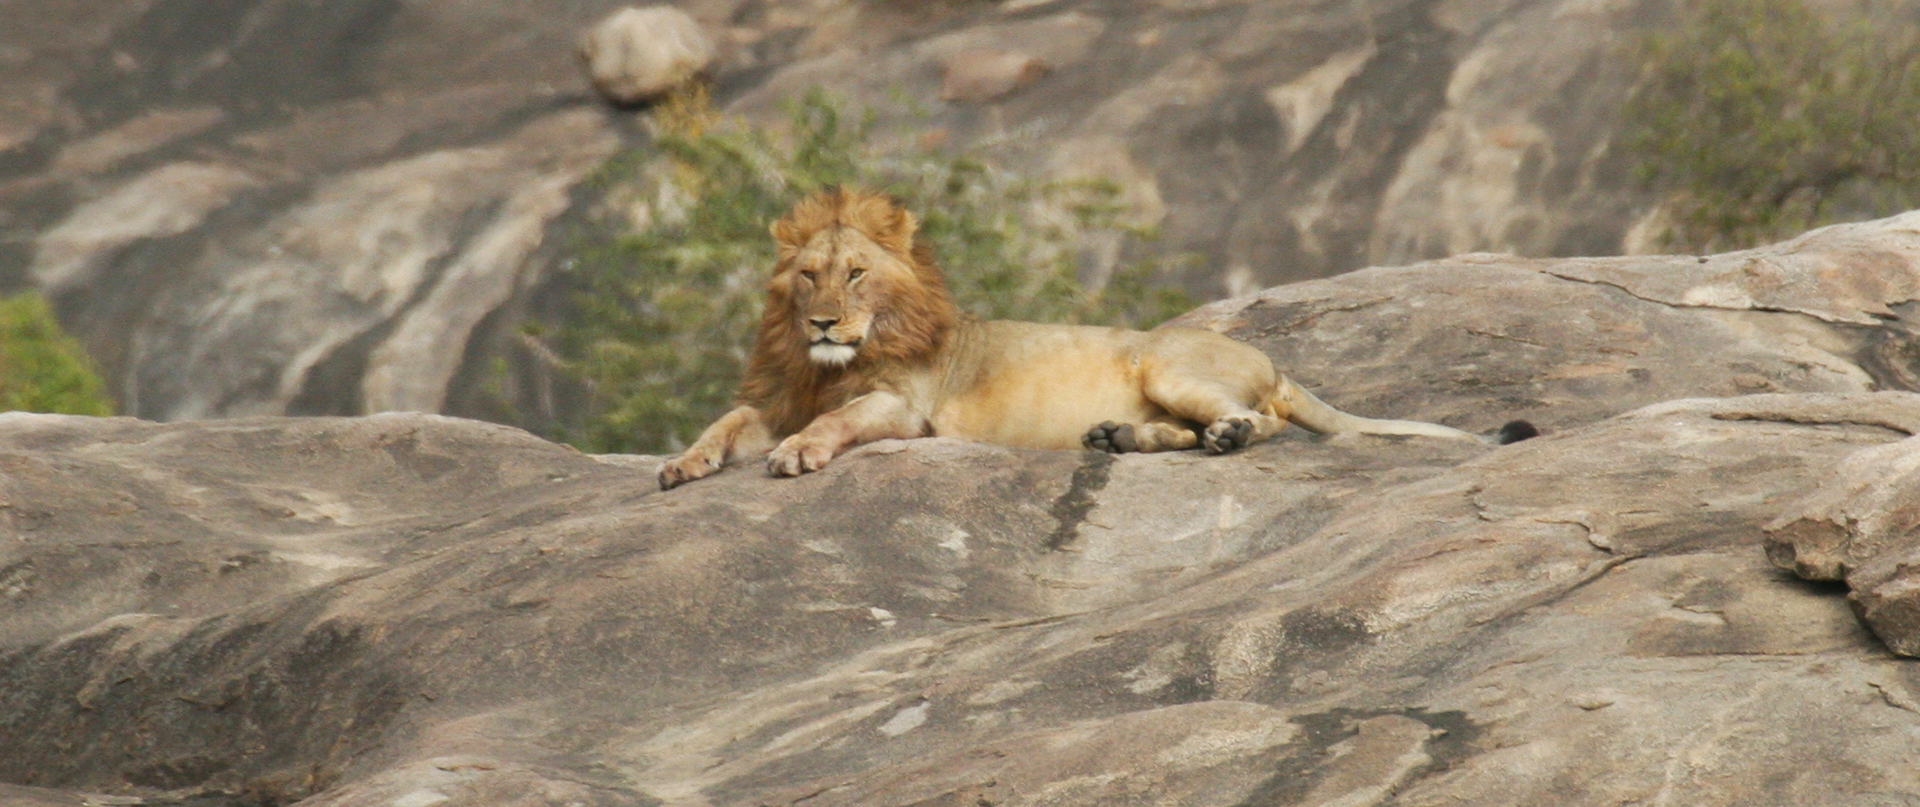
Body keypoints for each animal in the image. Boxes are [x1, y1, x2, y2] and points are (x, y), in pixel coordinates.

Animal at [656, 187, 1528, 491]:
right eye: (808, 276)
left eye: (858, 273)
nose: (824, 321)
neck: (825, 362)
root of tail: (1274, 357)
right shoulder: (774, 396)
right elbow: (725, 421)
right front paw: (681, 463)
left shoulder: (905, 408)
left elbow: (835, 422)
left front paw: (798, 453)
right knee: (1190, 431)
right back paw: (1121, 437)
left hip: (1170, 363)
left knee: (1264, 422)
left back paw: (1224, 434)